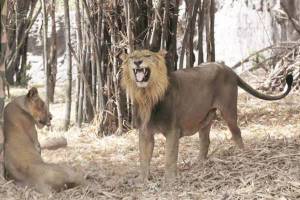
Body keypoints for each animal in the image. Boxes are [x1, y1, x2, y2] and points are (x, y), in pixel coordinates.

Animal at [120, 49, 292, 183]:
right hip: (205, 118)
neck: (146, 95)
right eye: (132, 56)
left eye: (147, 55)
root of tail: (227, 68)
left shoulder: (172, 131)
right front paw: (142, 180)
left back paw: (243, 155)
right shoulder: (145, 132)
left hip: (229, 110)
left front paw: (169, 181)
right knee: (206, 141)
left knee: (237, 133)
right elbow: (143, 158)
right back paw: (199, 163)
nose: (137, 62)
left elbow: (169, 157)